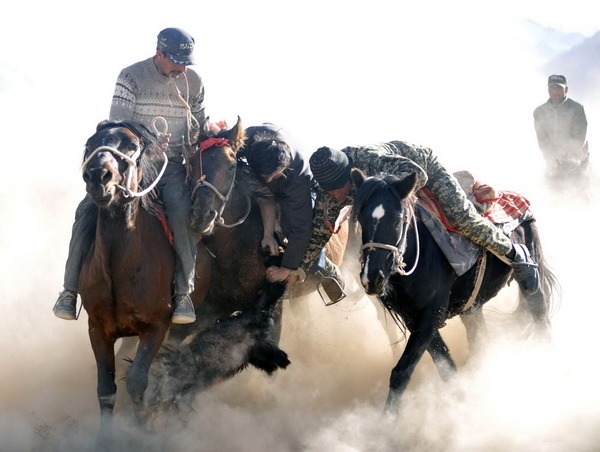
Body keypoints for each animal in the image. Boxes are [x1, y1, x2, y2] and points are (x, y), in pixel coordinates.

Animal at [77, 120, 176, 438]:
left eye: (132, 146)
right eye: (91, 143)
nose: (98, 175)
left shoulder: (157, 327)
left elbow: (136, 382)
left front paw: (142, 431)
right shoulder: (97, 329)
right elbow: (106, 388)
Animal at [350, 170, 556, 414]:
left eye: (396, 220)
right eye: (362, 220)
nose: (372, 278)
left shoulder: (430, 316)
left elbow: (402, 372)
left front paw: (386, 421)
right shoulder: (414, 319)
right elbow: (446, 368)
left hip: (532, 283)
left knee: (539, 312)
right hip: (471, 309)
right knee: (480, 340)